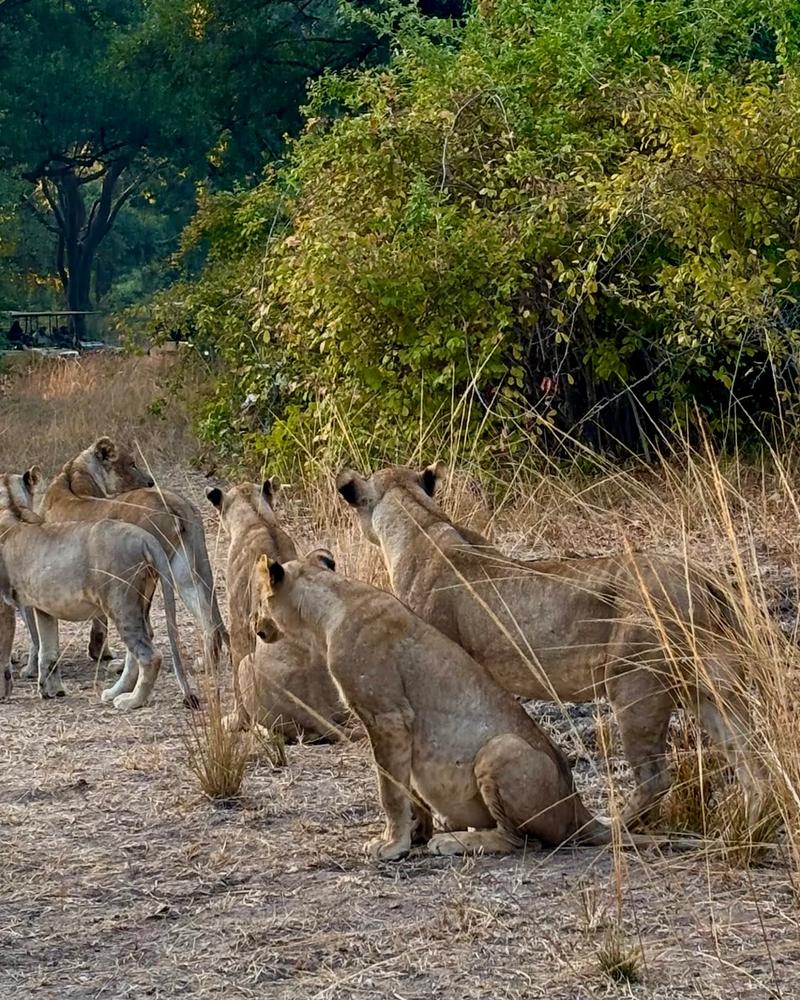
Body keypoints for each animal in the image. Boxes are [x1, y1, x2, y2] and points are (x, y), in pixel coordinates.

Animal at [0, 478, 197, 709]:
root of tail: (145, 538)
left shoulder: (3, 604)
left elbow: (4, 653)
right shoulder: (43, 609)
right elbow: (48, 651)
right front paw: (52, 691)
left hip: (119, 602)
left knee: (150, 656)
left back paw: (132, 701)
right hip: (137, 602)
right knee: (137, 650)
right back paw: (115, 692)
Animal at [34, 437, 228, 677]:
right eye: (132, 464)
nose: (150, 481)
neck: (72, 474)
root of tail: (173, 499)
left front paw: (98, 651)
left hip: (143, 572)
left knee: (145, 627)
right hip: (183, 568)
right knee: (206, 616)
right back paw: (207, 665)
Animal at [207, 481, 352, 741]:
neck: (257, 519)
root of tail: (319, 709)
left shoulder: (239, 619)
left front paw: (235, 721)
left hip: (248, 664)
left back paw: (260, 730)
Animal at [253, 549, 695, 859]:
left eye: (258, 601)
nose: (256, 628)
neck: (326, 608)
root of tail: (580, 811)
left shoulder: (388, 716)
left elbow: (390, 789)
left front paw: (391, 845)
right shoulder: (399, 728)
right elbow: (410, 789)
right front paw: (415, 835)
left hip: (502, 749)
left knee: (522, 841)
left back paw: (455, 843)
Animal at [336, 464, 766, 827]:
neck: (420, 521)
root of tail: (703, 578)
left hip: (635, 682)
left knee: (655, 777)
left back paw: (615, 825)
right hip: (707, 685)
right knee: (748, 751)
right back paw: (751, 822)